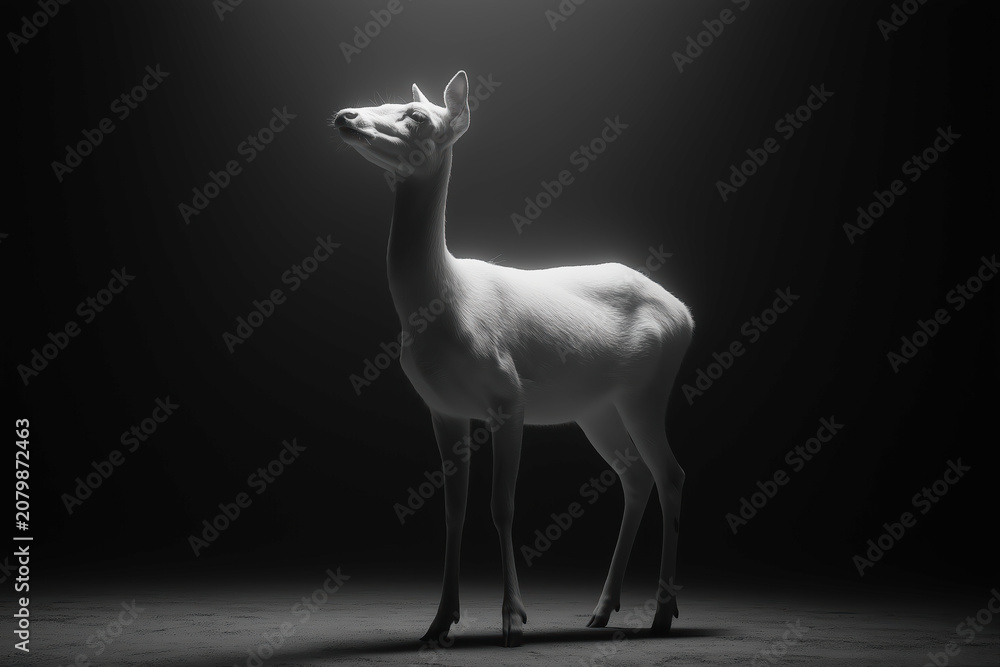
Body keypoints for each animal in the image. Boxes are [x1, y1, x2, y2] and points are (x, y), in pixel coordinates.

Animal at [332, 71, 694, 647]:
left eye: (417, 115)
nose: (345, 116)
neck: (448, 301)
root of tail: (686, 314)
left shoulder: (509, 397)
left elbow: (502, 506)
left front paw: (513, 621)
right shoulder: (442, 408)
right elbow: (454, 511)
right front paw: (438, 623)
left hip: (647, 391)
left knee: (671, 474)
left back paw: (661, 614)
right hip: (596, 408)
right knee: (635, 476)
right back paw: (602, 610)